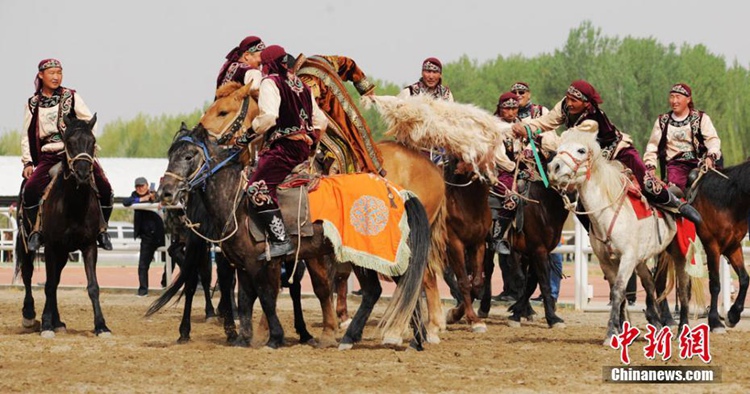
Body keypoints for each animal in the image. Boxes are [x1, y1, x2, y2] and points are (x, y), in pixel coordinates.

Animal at [14, 114, 111, 338]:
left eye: (92, 142)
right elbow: (48, 285)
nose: (83, 173)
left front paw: (101, 326)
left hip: (64, 252)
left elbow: (92, 286)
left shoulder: (89, 246)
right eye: (69, 143)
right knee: (28, 272)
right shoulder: (51, 246)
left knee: (56, 279)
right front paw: (46, 325)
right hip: (26, 242)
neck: (73, 204)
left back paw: (57, 321)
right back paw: (30, 315)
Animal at [157, 124, 428, 350]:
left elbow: (266, 297)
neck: (237, 202)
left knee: (402, 286)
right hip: (362, 257)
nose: (166, 192)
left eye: (188, 156)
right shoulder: (243, 266)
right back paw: (362, 337)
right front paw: (244, 339)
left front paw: (274, 337)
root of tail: (398, 192)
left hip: (378, 253)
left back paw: (409, 337)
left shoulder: (260, 263)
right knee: (378, 291)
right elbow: (245, 300)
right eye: (170, 154)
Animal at [544, 127, 692, 344]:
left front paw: (610, 332)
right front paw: (618, 330)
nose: (554, 168)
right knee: (650, 283)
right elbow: (617, 292)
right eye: (559, 149)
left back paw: (683, 330)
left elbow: (618, 290)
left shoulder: (627, 258)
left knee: (682, 289)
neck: (608, 212)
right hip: (641, 260)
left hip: (680, 254)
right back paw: (656, 324)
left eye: (581, 150)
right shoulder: (607, 261)